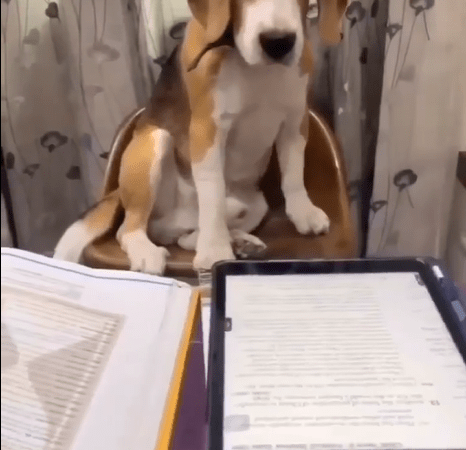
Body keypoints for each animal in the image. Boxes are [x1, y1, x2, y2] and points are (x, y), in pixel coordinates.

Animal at [53, 0, 346, 274]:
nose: (278, 42)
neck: (252, 67)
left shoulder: (296, 120)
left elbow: (294, 174)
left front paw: (303, 212)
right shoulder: (207, 132)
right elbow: (212, 193)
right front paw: (215, 251)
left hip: (255, 204)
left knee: (180, 237)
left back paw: (238, 242)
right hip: (154, 143)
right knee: (130, 228)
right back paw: (148, 251)